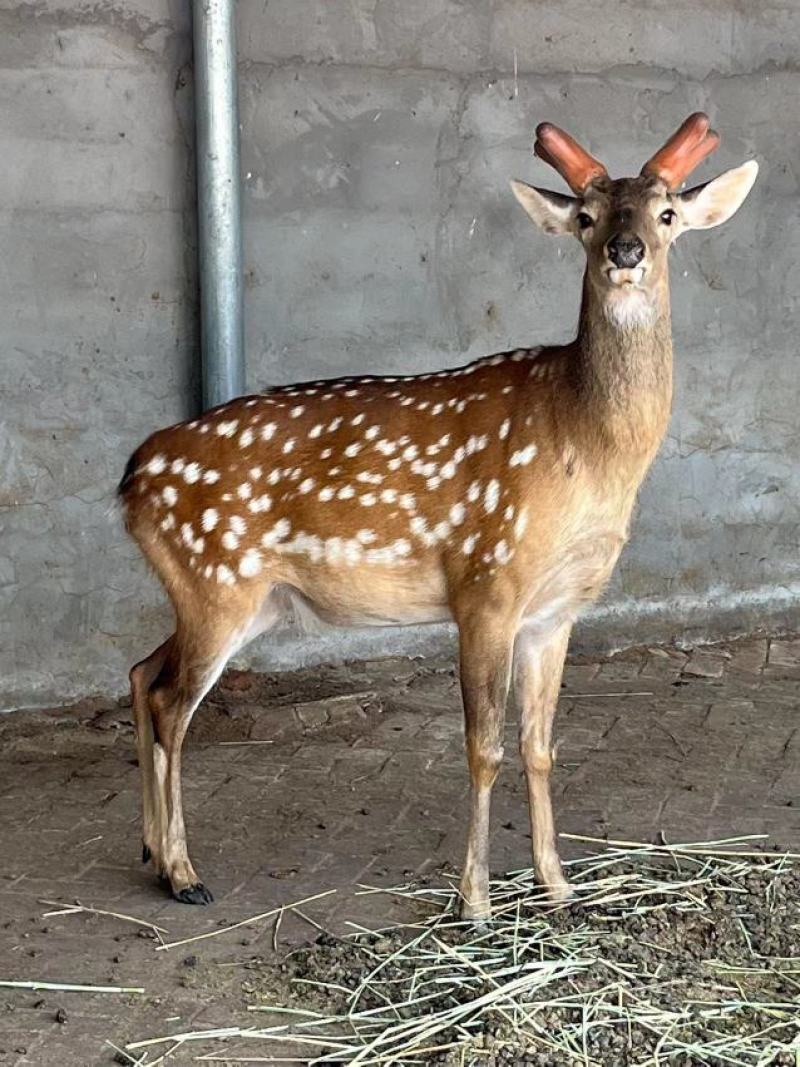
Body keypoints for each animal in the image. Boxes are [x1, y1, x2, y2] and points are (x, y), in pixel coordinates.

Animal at [119, 114, 757, 920]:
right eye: (585, 217)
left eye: (666, 213)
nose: (626, 250)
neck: (586, 447)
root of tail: (131, 478)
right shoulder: (487, 581)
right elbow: (483, 746)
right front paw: (476, 899)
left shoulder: (557, 609)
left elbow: (540, 745)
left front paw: (558, 885)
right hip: (216, 578)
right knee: (171, 702)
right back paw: (184, 873)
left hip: (235, 594)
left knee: (142, 670)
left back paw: (151, 853)